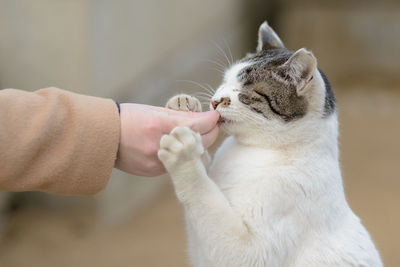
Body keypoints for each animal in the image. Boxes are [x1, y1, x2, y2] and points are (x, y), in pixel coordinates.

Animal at [157, 21, 382, 267]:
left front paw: (183, 155)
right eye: (225, 82)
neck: (254, 150)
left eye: (245, 92)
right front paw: (182, 106)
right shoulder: (201, 249)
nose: (215, 101)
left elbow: (204, 199)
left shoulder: (251, 252)